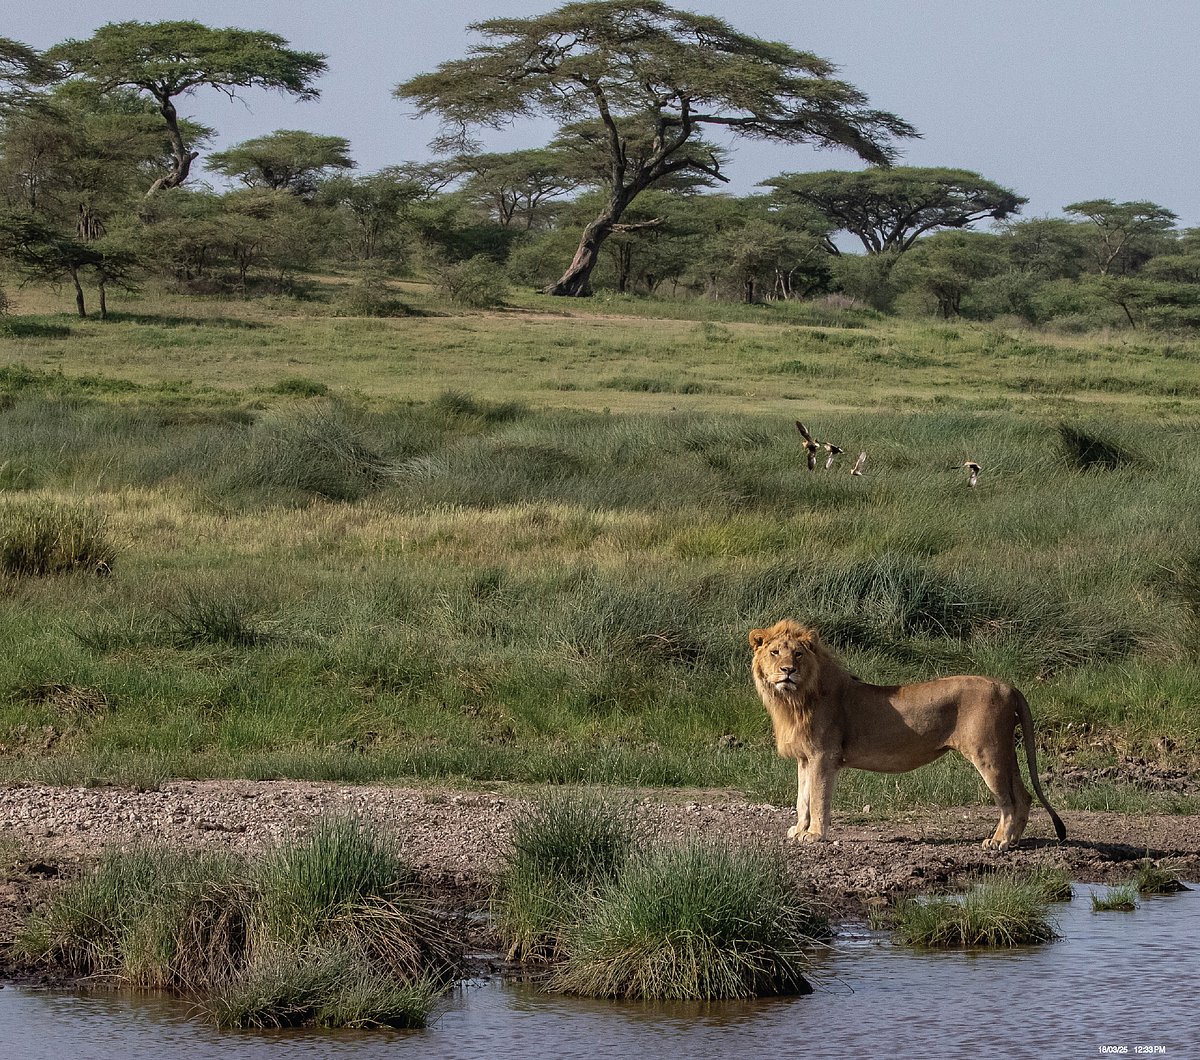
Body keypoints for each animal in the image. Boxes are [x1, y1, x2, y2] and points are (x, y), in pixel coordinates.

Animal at [749, 619, 1066, 850]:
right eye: (775, 652)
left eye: (798, 654)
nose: (787, 670)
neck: (795, 699)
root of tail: (1007, 686)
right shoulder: (805, 758)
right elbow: (802, 797)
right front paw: (798, 829)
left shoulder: (823, 755)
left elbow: (817, 797)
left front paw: (815, 834)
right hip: (1005, 751)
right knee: (1024, 796)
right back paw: (1013, 842)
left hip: (988, 752)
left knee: (1008, 800)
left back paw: (999, 841)